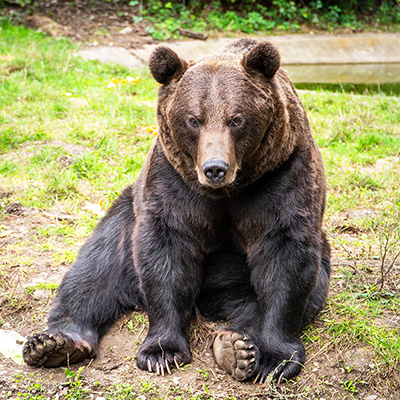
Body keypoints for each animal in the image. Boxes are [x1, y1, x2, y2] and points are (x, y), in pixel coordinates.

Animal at [21, 39, 330, 382]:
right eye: (193, 119)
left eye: (236, 119)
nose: (215, 168)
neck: (229, 190)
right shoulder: (174, 181)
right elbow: (168, 254)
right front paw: (162, 352)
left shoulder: (282, 174)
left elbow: (285, 256)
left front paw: (275, 359)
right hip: (124, 220)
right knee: (93, 270)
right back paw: (54, 343)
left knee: (285, 292)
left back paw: (235, 346)